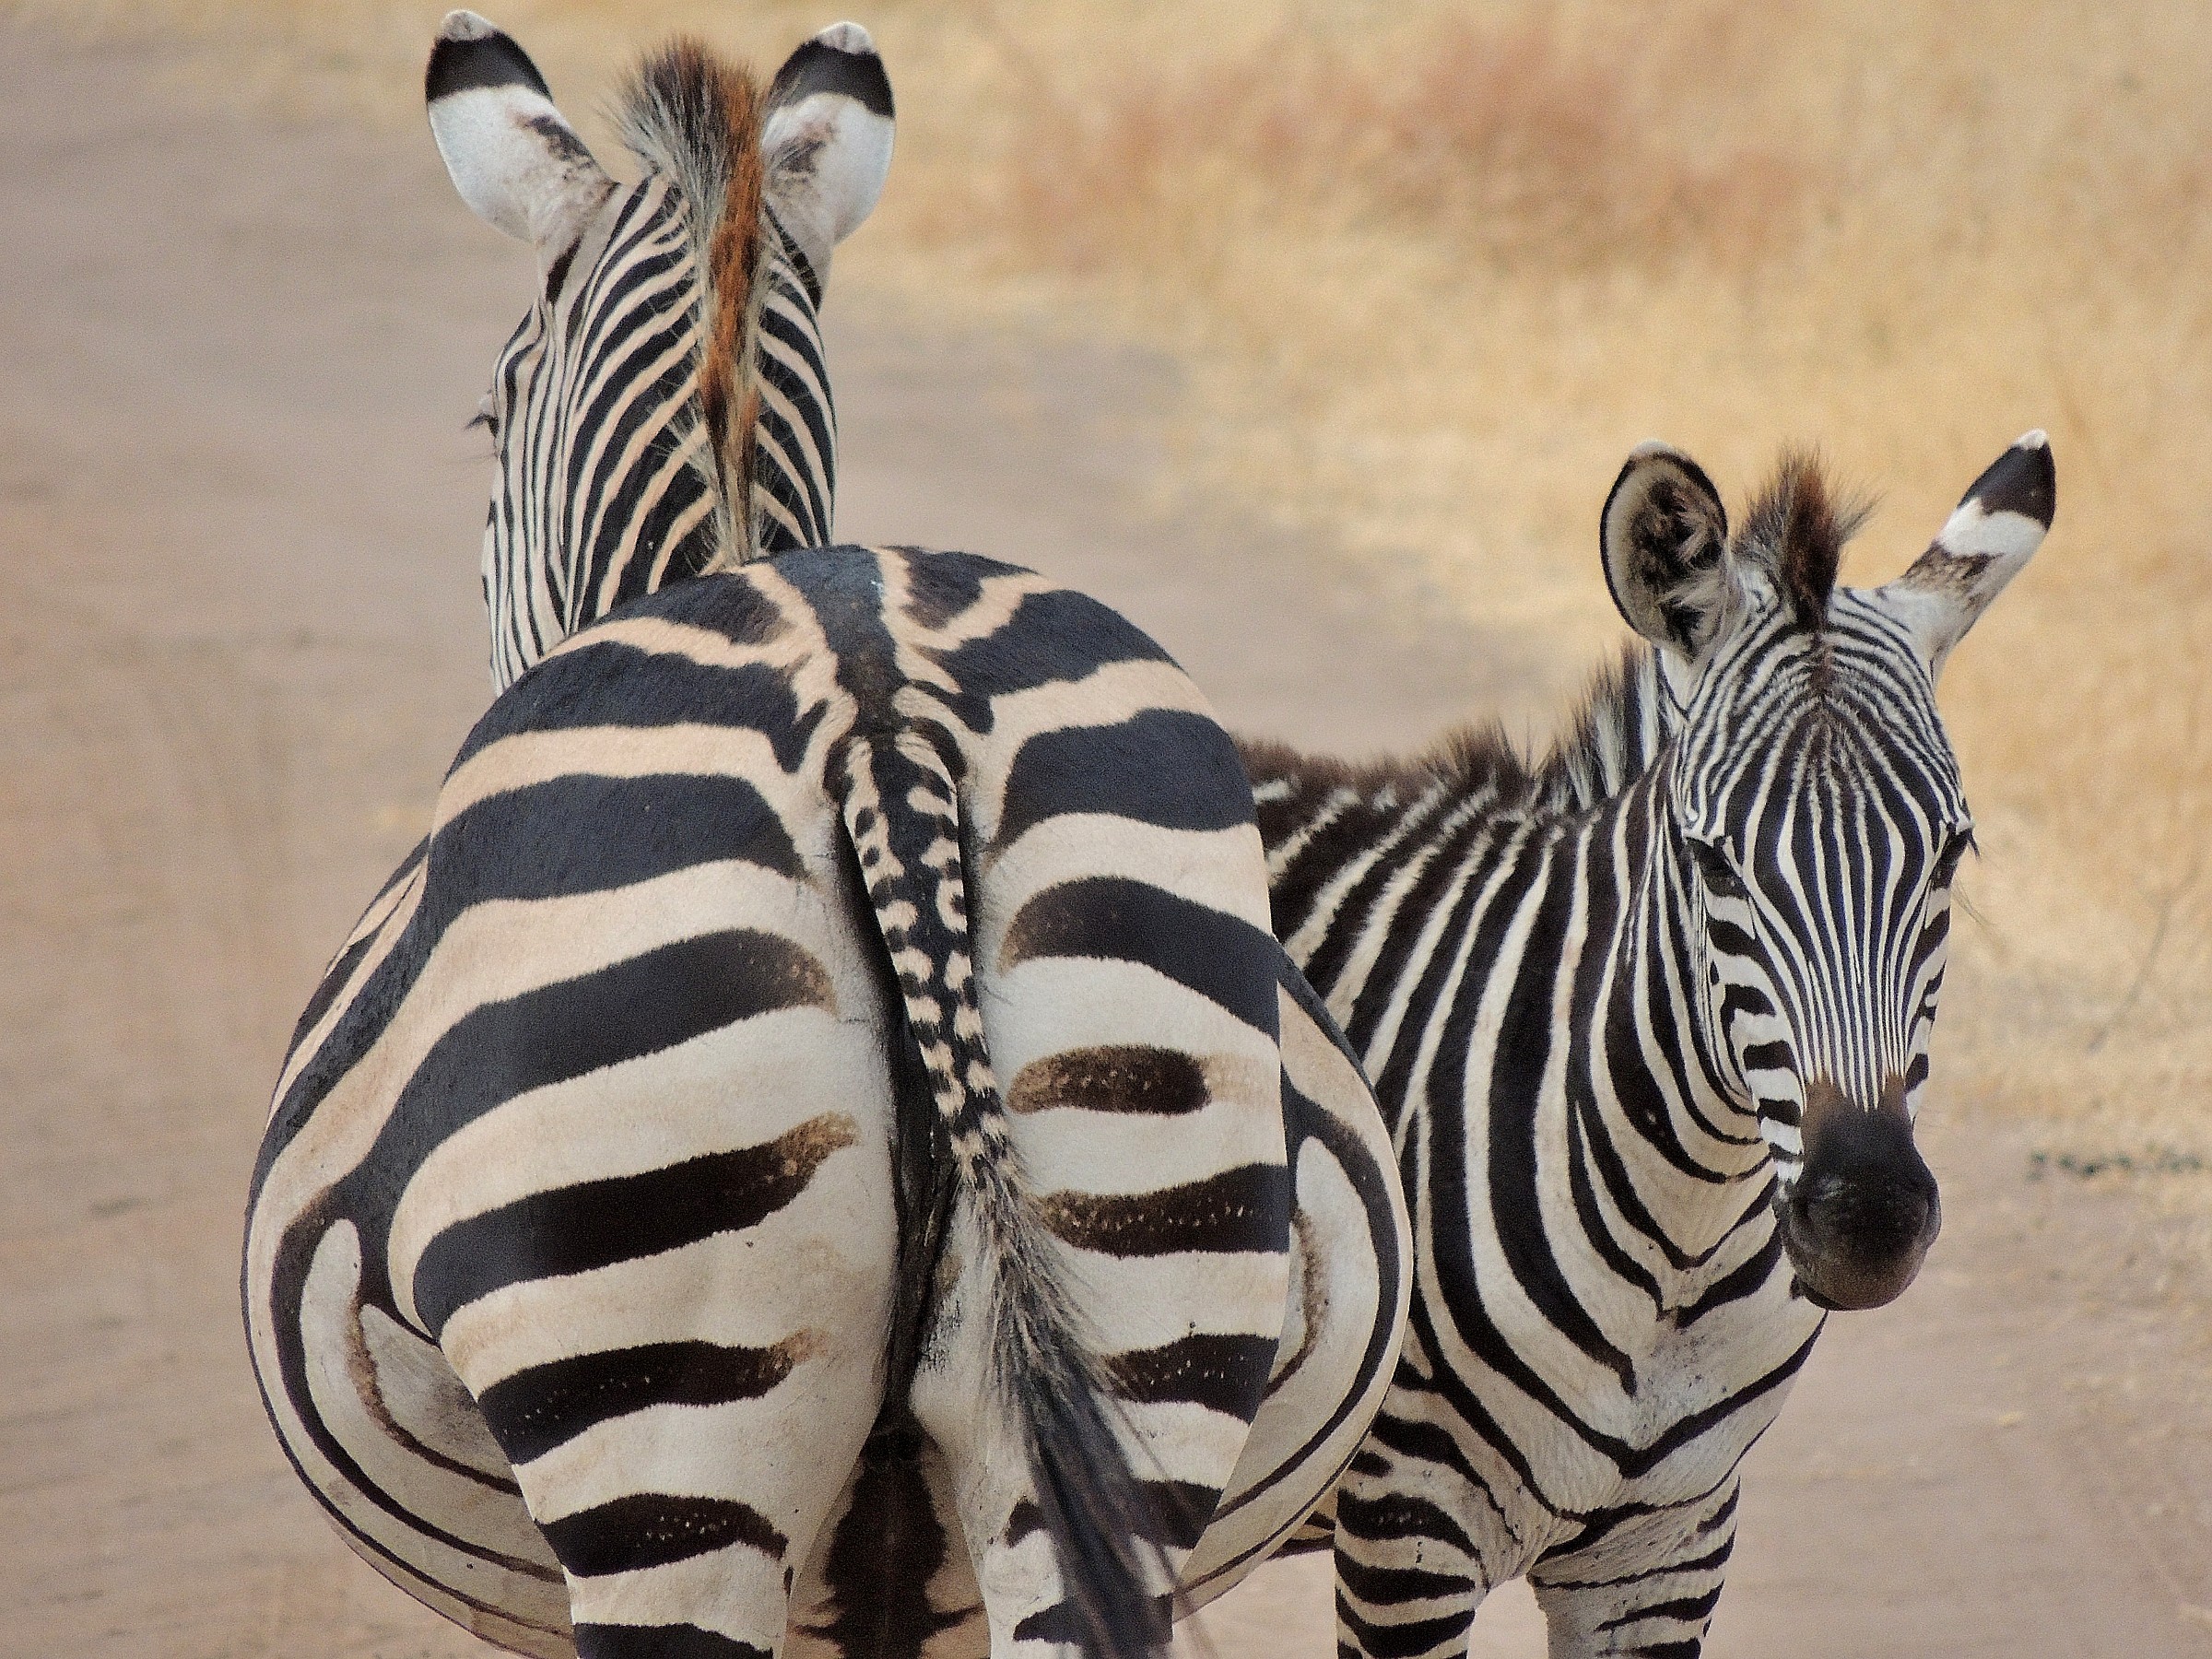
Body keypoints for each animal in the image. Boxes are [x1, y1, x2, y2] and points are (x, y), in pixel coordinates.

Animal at [1243, 433, 2056, 1656]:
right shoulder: (1404, 1531)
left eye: (1951, 854)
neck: (1682, 1240)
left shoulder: (1669, 1544)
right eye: (1712, 860)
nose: (1866, 1220)